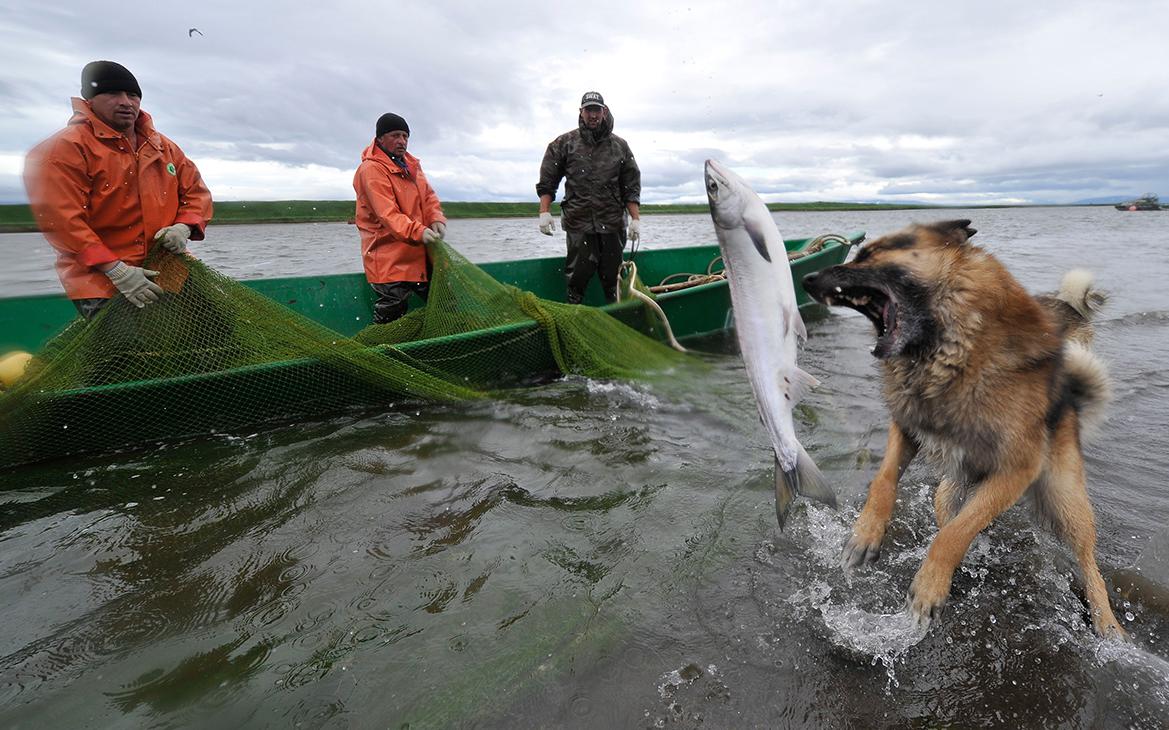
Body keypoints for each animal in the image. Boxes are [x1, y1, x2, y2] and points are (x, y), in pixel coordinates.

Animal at [804, 219, 1122, 636]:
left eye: (869, 254)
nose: (805, 279)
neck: (953, 350)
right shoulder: (907, 429)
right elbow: (886, 481)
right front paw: (864, 534)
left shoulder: (1017, 469)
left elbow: (953, 535)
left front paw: (928, 587)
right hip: (948, 492)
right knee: (956, 520)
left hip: (1065, 500)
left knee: (1088, 562)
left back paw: (1108, 625)